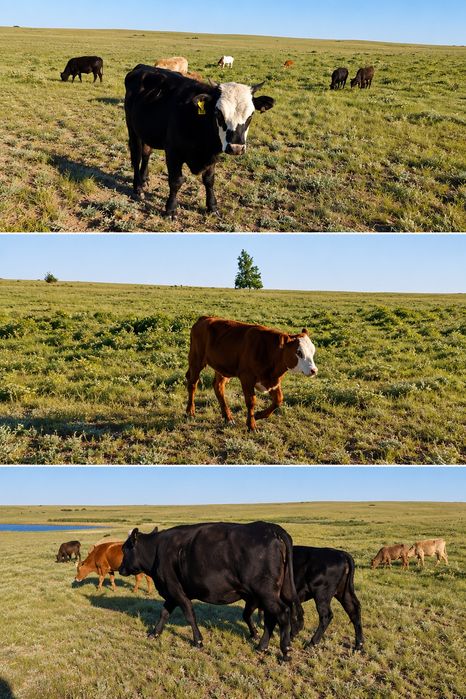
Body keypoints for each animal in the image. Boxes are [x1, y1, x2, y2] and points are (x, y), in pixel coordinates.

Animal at [119, 522, 304, 661]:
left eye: (125, 549)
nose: (120, 569)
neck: (157, 550)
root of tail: (270, 528)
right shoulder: (171, 593)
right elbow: (164, 613)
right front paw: (154, 633)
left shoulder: (175, 589)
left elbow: (189, 614)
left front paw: (198, 641)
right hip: (270, 593)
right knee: (272, 617)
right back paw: (262, 647)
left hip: (265, 592)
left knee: (282, 613)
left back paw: (285, 650)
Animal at [124, 65, 274, 217]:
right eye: (218, 113)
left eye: (251, 115)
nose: (236, 148)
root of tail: (142, 67)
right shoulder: (173, 152)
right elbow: (176, 181)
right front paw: (170, 209)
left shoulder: (213, 155)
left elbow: (209, 180)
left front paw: (212, 207)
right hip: (132, 129)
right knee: (136, 157)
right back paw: (138, 187)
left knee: (146, 153)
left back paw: (144, 179)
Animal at [186, 316, 317, 431]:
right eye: (299, 352)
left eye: (313, 351)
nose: (314, 370)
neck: (269, 351)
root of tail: (204, 318)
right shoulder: (247, 378)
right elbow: (251, 401)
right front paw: (251, 425)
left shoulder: (272, 380)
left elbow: (278, 400)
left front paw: (258, 415)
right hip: (196, 360)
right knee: (192, 384)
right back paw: (190, 411)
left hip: (221, 368)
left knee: (218, 387)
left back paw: (228, 417)